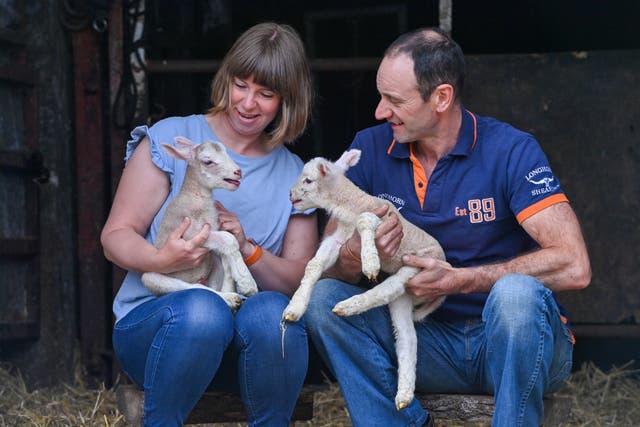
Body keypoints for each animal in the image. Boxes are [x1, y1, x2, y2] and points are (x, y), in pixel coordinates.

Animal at [141, 136, 258, 310]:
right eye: (208, 161)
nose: (238, 172)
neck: (197, 199)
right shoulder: (189, 235)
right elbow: (229, 239)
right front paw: (248, 284)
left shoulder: (215, 229)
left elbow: (227, 256)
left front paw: (236, 283)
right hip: (153, 279)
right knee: (196, 288)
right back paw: (229, 298)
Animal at [281, 149, 446, 410]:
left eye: (307, 180)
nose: (290, 194)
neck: (352, 205)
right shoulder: (339, 241)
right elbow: (314, 264)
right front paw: (294, 308)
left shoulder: (383, 220)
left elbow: (365, 220)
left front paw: (370, 262)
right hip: (405, 297)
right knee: (407, 337)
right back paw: (404, 395)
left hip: (417, 265)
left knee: (388, 288)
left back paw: (349, 305)